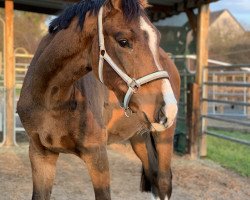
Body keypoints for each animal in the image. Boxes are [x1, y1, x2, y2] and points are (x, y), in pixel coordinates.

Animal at [17, 0, 180, 199]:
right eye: (123, 41)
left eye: (157, 38)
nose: (169, 108)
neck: (52, 100)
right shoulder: (40, 154)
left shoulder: (97, 156)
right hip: (139, 137)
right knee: (154, 176)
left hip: (164, 136)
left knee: (163, 182)